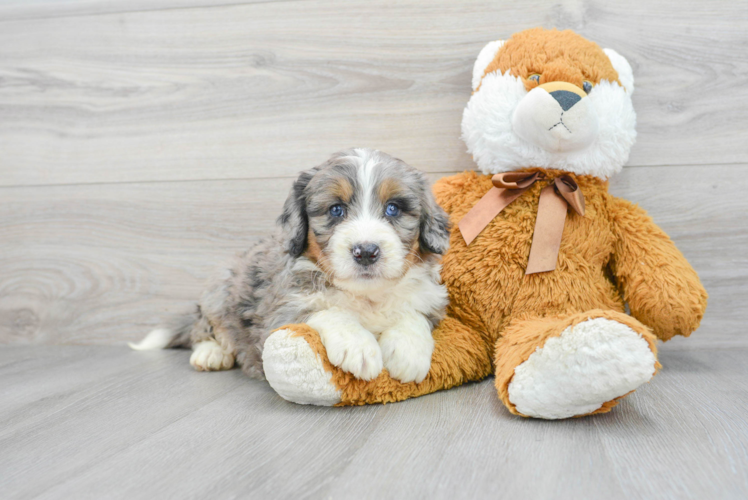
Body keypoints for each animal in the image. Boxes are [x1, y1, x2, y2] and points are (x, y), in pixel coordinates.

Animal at [130, 148, 450, 382]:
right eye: (336, 210)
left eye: (393, 208)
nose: (366, 252)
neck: (366, 295)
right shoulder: (279, 312)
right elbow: (326, 310)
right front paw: (358, 346)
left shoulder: (430, 299)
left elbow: (413, 313)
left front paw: (408, 351)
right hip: (219, 288)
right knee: (204, 328)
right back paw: (210, 353)